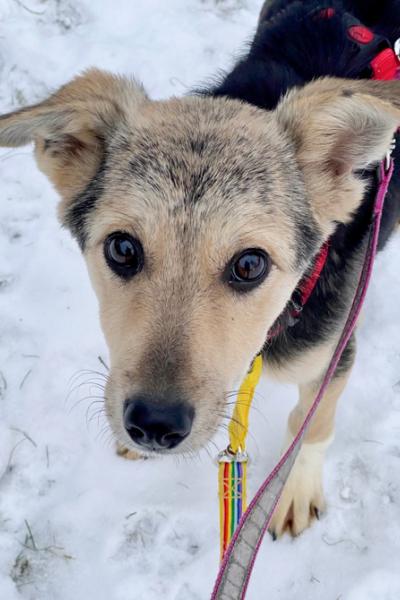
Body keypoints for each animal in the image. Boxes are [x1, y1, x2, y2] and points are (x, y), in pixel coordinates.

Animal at [0, 0, 399, 538]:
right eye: (122, 249)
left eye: (250, 264)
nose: (153, 425)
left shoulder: (332, 351)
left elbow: (310, 421)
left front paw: (295, 487)